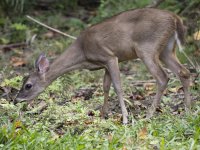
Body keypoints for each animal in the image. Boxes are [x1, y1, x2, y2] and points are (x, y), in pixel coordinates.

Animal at [14, 7, 191, 123]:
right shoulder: (105, 64)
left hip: (147, 48)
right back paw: (188, 110)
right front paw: (102, 115)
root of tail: (175, 18)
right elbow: (106, 87)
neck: (82, 53)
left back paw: (149, 115)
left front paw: (125, 119)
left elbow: (118, 87)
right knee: (184, 71)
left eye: (28, 85)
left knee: (163, 77)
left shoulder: (110, 57)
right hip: (166, 49)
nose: (16, 100)